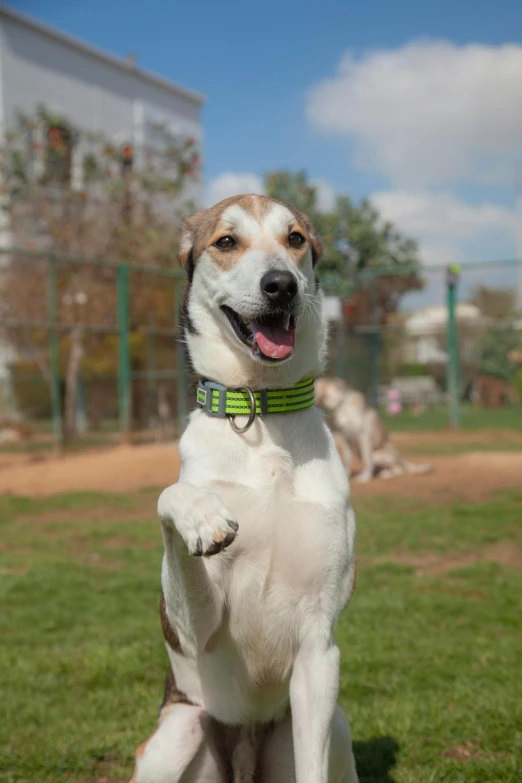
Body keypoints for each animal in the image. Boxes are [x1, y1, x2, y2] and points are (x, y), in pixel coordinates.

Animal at [129, 193, 358, 780]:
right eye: (226, 242)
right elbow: (169, 496)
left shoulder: (319, 650)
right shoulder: (199, 630)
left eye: (295, 238)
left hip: (335, 725)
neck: (260, 412)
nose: (281, 285)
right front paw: (204, 517)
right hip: (177, 733)